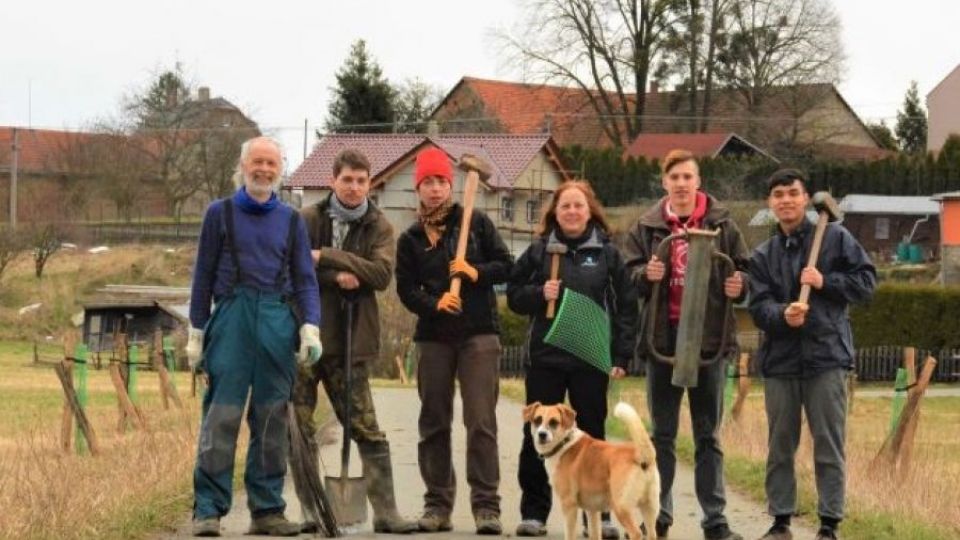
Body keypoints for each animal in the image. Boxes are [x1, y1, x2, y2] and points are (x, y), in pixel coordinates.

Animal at [524, 400, 660, 540]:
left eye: (553, 422)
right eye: (537, 420)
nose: (542, 435)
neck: (564, 443)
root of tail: (642, 456)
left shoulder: (569, 505)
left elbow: (569, 534)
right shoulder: (592, 510)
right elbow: (594, 533)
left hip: (622, 507)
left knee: (636, 533)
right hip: (650, 509)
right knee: (652, 533)